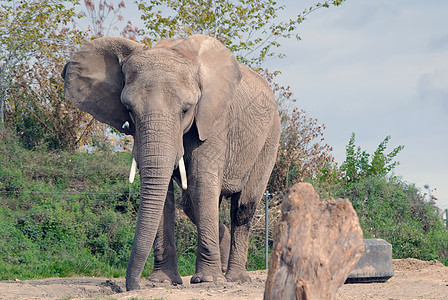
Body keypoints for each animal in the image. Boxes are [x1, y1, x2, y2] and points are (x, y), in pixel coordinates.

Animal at [62, 34, 280, 290]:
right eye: (129, 109)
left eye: (186, 110)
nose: (132, 287)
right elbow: (164, 190)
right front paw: (162, 282)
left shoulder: (214, 120)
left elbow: (203, 182)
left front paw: (207, 280)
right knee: (192, 206)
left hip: (270, 139)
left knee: (243, 207)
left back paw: (235, 278)